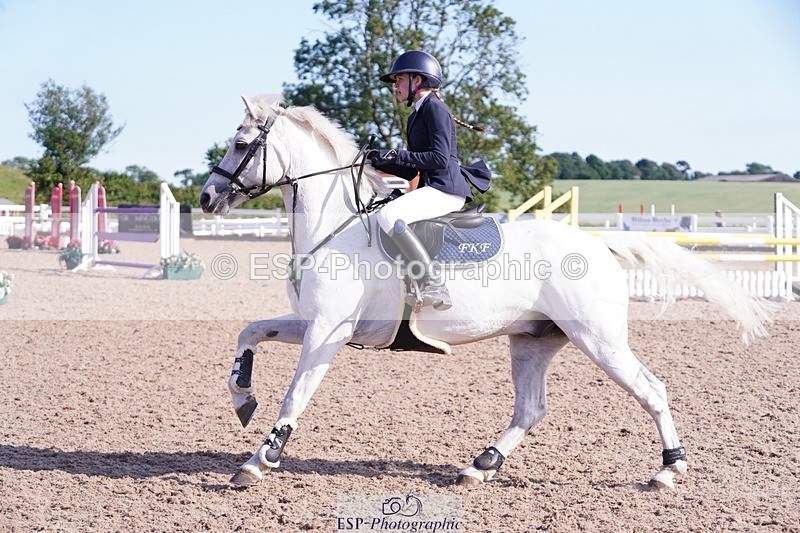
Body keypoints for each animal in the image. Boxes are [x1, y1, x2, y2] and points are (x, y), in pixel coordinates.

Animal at [199, 94, 772, 489]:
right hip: (533, 340)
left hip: (599, 339)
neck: (335, 225)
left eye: (241, 143)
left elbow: (297, 394)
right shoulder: (313, 324)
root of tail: (598, 243)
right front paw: (242, 397)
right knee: (531, 409)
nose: (206, 197)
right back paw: (481, 465)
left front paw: (260, 459)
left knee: (651, 390)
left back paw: (668, 471)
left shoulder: (328, 332)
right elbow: (249, 332)